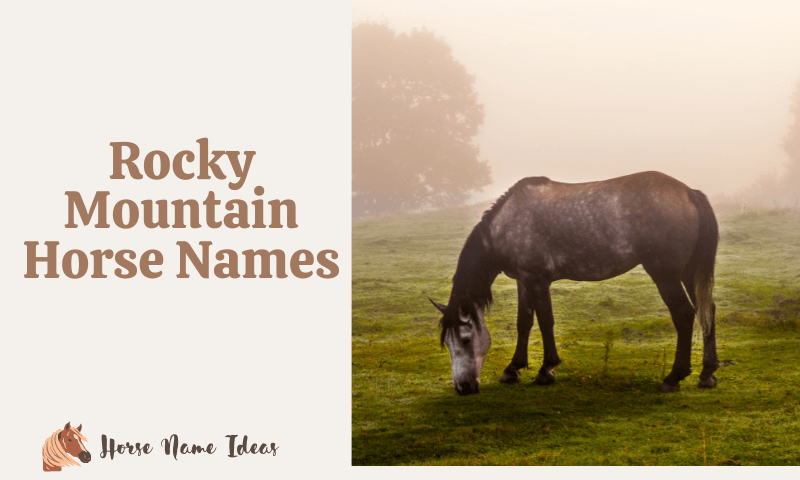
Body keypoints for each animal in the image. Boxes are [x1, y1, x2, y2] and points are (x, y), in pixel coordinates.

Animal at [430, 171, 719, 395]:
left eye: (466, 339)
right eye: (447, 343)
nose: (463, 388)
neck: (507, 223)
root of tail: (688, 192)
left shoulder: (538, 280)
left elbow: (545, 321)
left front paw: (546, 370)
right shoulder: (524, 281)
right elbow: (524, 323)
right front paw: (513, 369)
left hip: (665, 274)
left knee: (684, 314)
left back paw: (674, 377)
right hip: (689, 273)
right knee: (707, 311)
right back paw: (707, 373)